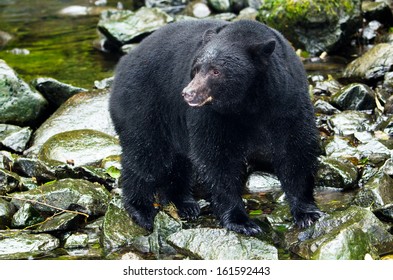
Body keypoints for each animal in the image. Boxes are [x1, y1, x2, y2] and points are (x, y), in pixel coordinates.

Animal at [109, 18, 322, 235]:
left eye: (216, 71)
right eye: (195, 69)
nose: (188, 93)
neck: (248, 102)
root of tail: (124, 61)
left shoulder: (286, 100)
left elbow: (294, 148)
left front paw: (307, 212)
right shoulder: (213, 116)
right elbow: (217, 157)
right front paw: (240, 221)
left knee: (176, 160)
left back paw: (184, 204)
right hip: (142, 104)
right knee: (146, 154)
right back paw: (141, 210)